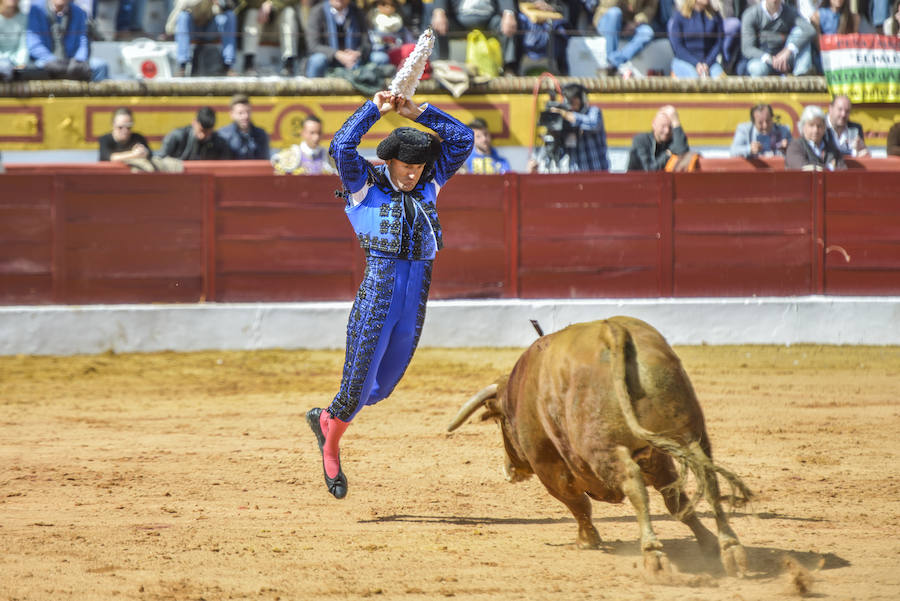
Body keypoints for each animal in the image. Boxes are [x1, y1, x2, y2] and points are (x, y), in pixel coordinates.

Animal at [450, 316, 752, 576]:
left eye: (499, 420)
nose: (509, 469)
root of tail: (613, 331)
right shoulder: (656, 457)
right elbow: (675, 500)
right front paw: (708, 542)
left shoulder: (548, 467)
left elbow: (577, 503)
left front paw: (587, 540)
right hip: (689, 432)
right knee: (707, 477)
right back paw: (730, 548)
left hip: (603, 448)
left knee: (634, 486)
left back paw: (653, 555)